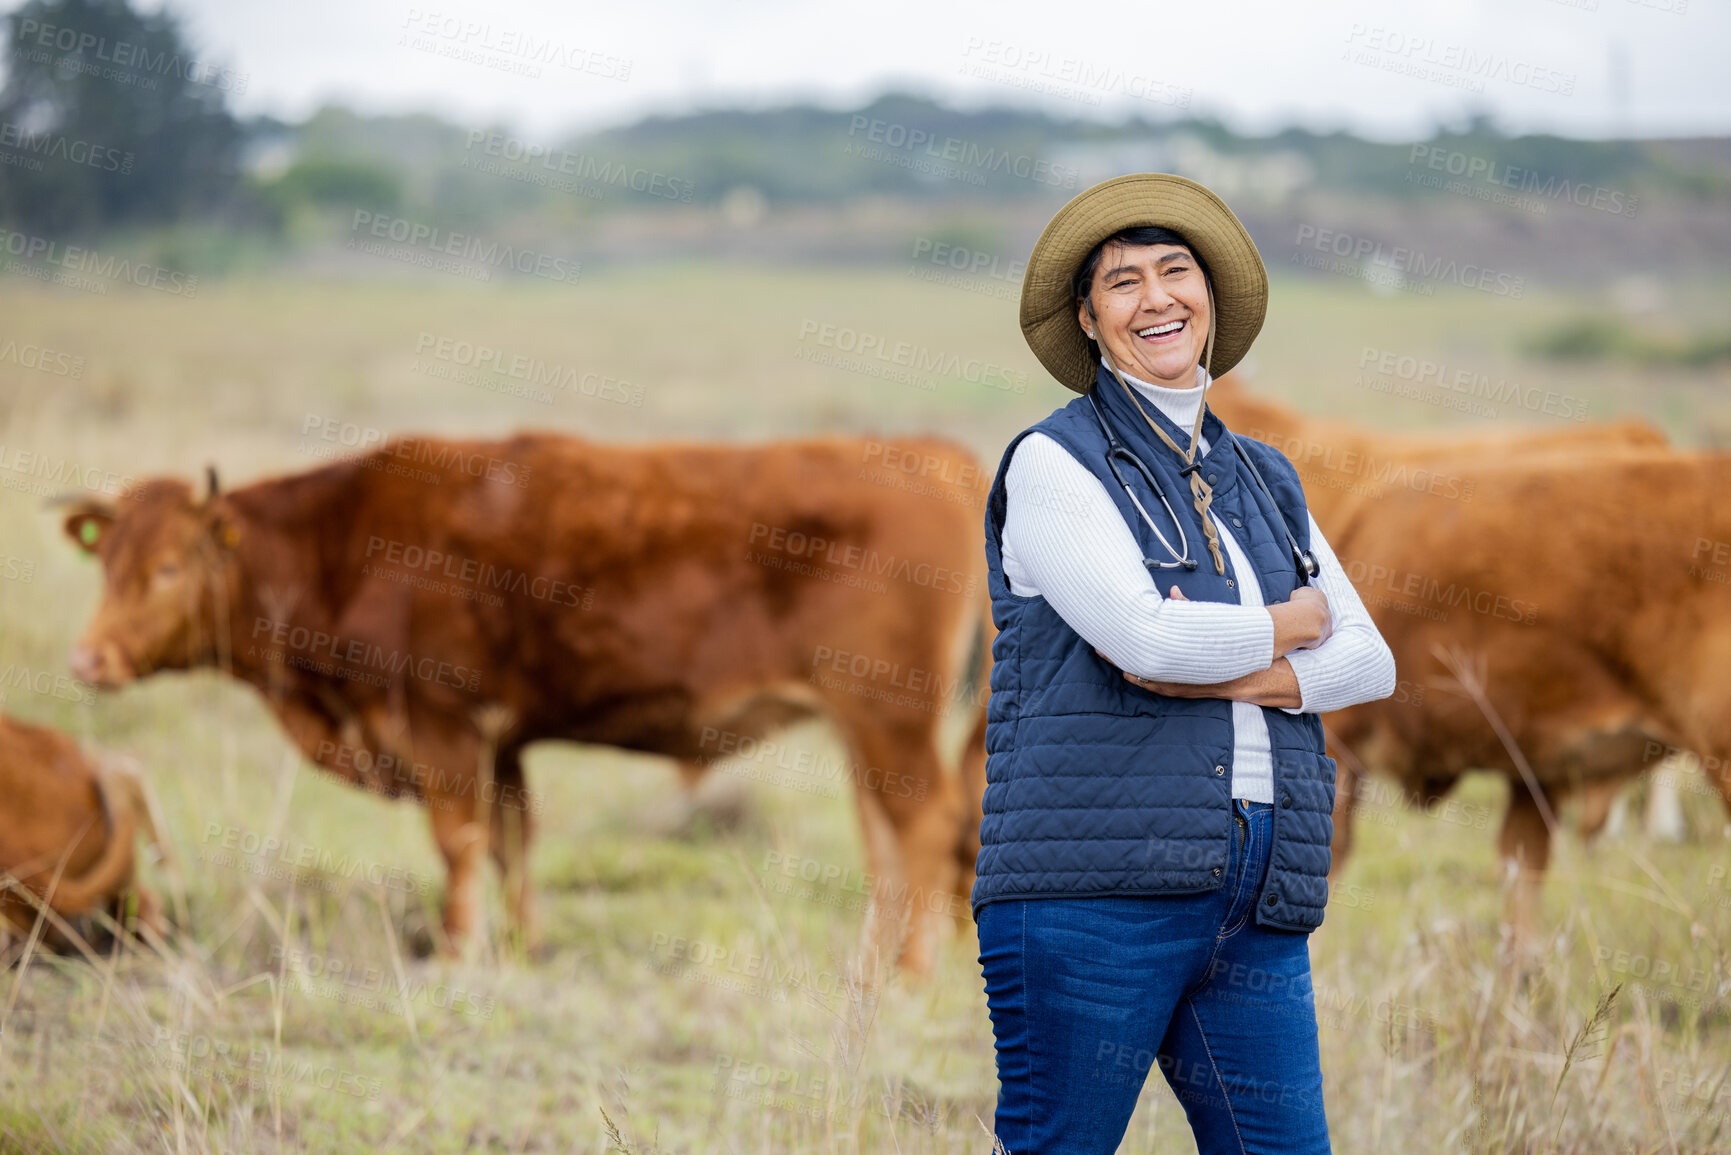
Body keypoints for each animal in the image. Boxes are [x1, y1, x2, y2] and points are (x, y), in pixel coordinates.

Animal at [64, 432, 990, 976]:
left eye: (169, 567)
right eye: (106, 561)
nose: (88, 658)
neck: (341, 542)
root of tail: (934, 452)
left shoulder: (440, 724)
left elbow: (460, 842)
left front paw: (457, 951)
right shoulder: (500, 743)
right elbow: (511, 840)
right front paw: (520, 946)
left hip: (890, 721)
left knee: (928, 830)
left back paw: (913, 972)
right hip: (865, 733)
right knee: (890, 845)